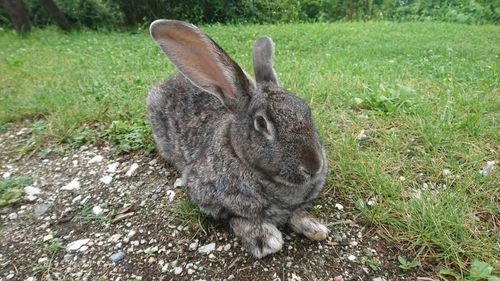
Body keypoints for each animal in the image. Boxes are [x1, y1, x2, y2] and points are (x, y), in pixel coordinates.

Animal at [146, 19, 330, 256]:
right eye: (261, 124)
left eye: (307, 110)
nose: (314, 166)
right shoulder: (206, 197)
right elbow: (236, 218)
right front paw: (264, 239)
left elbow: (297, 213)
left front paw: (313, 226)